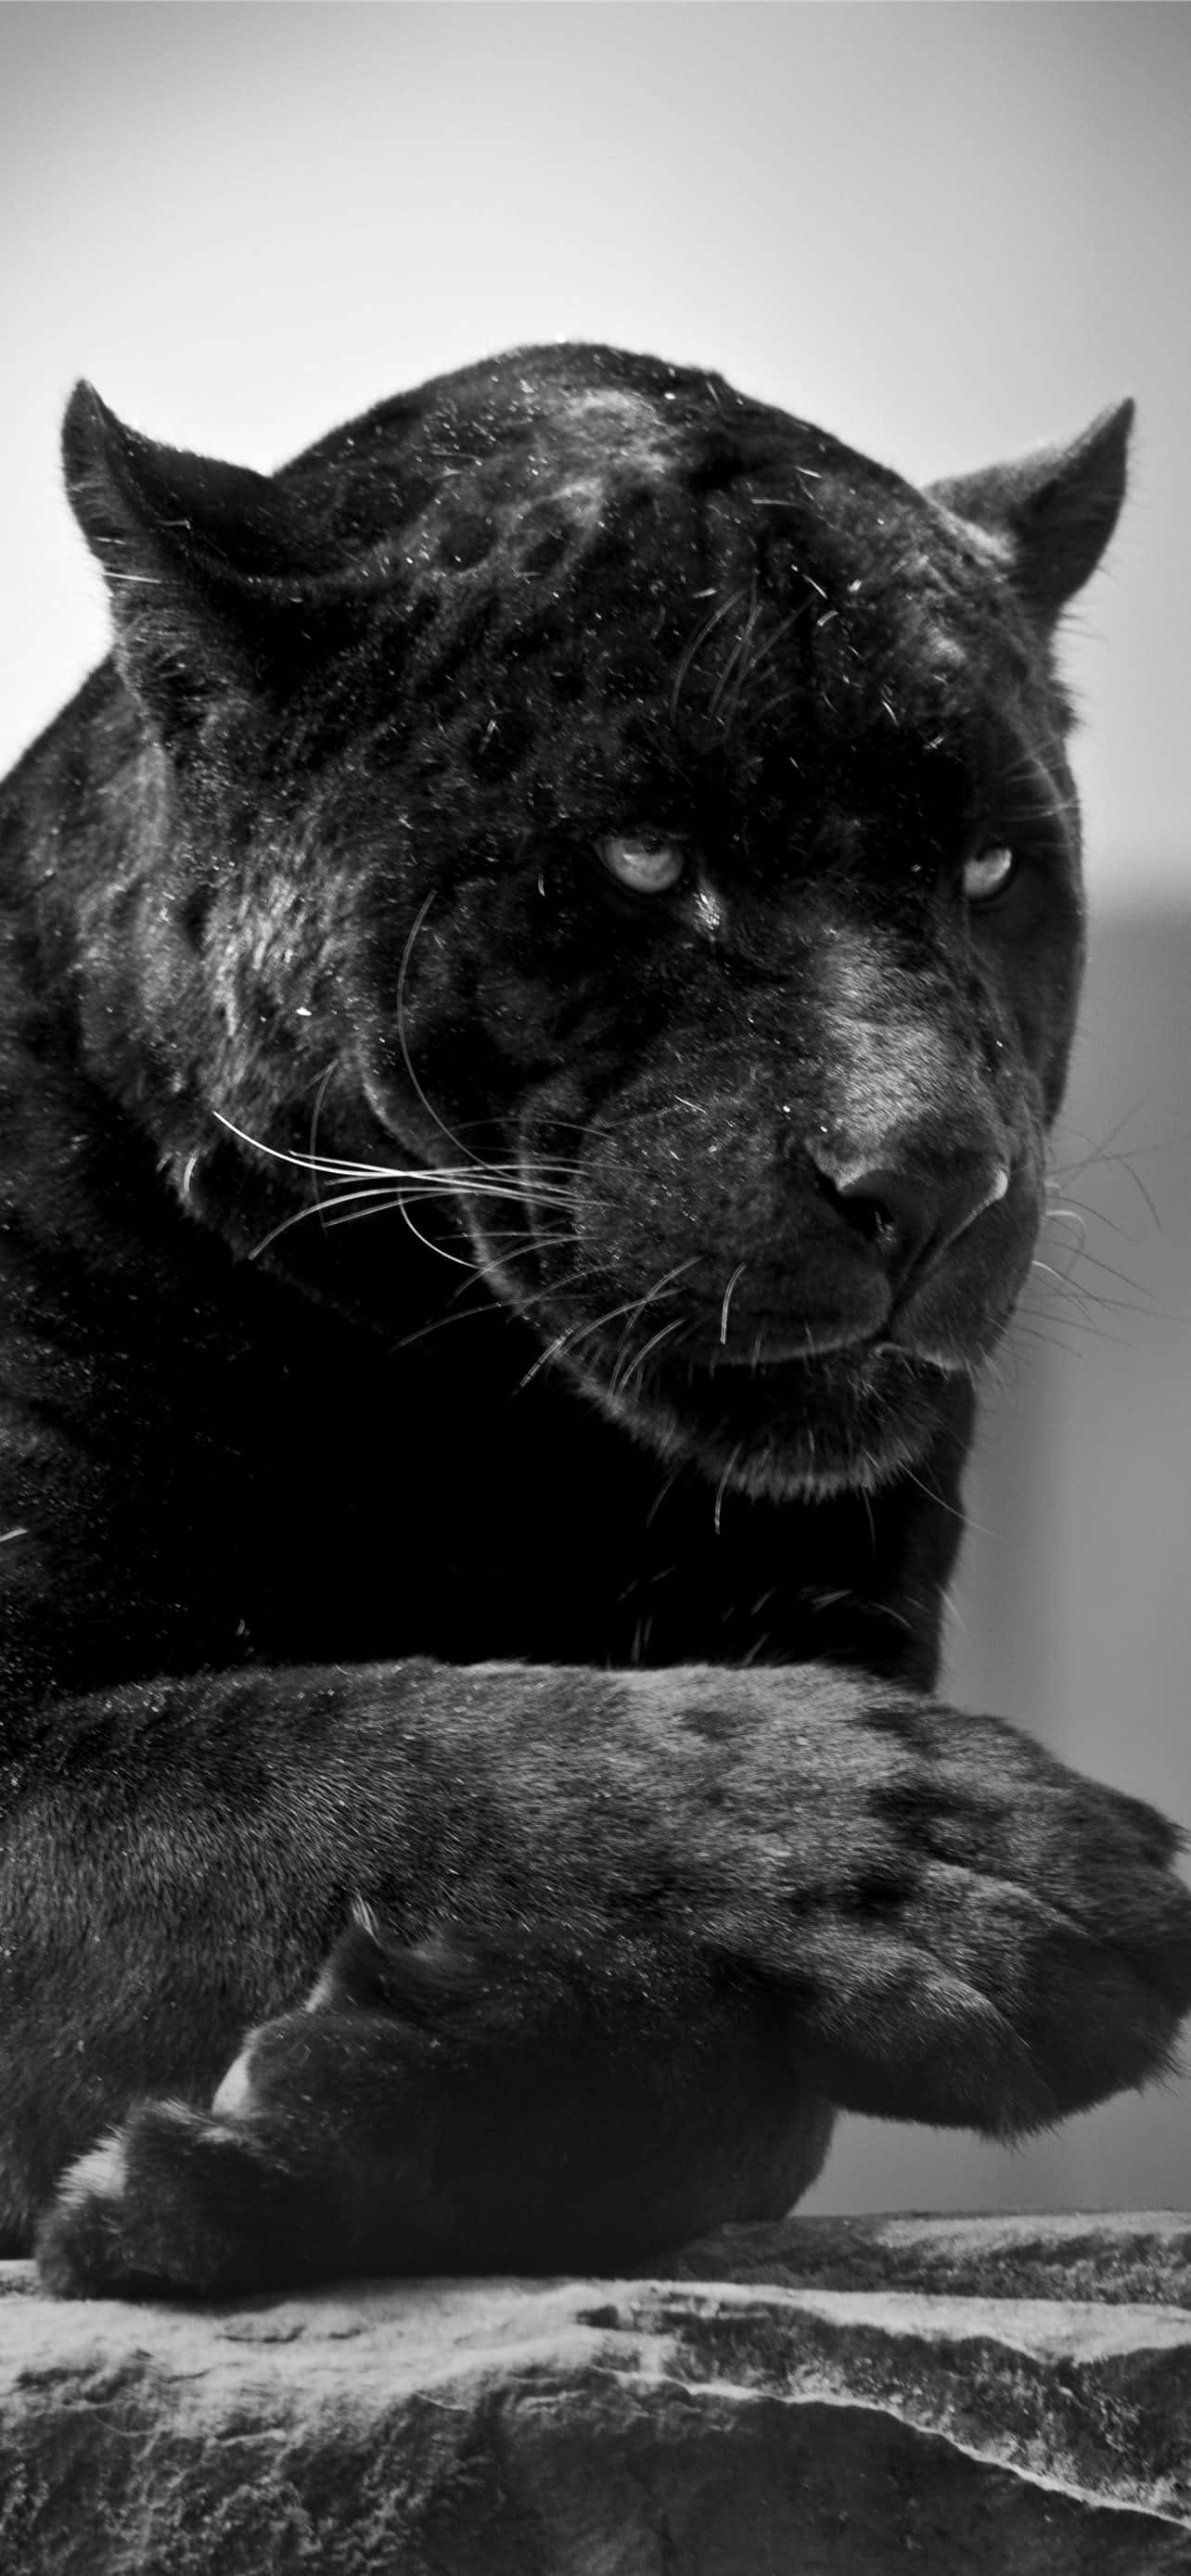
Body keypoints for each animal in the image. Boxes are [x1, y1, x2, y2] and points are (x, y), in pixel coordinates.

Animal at [0, 342, 1187, 2299]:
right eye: (640, 860)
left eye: (990, 871)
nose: (927, 1172)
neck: (480, 1435)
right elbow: (350, 1744)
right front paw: (953, 1856)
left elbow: (715, 2095)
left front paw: (301, 2121)